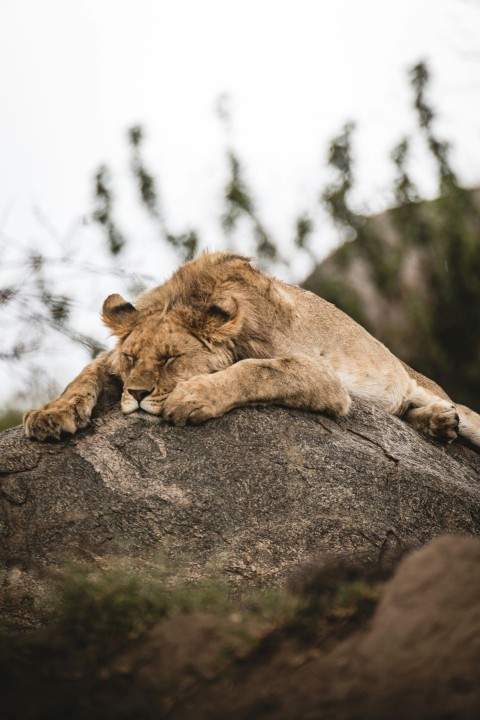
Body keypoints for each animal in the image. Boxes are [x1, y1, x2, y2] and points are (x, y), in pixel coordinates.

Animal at [23, 251, 480, 447]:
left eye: (171, 358)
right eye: (133, 359)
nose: (135, 394)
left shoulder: (325, 378)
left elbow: (258, 369)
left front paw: (192, 396)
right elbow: (84, 375)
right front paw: (50, 415)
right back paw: (438, 424)